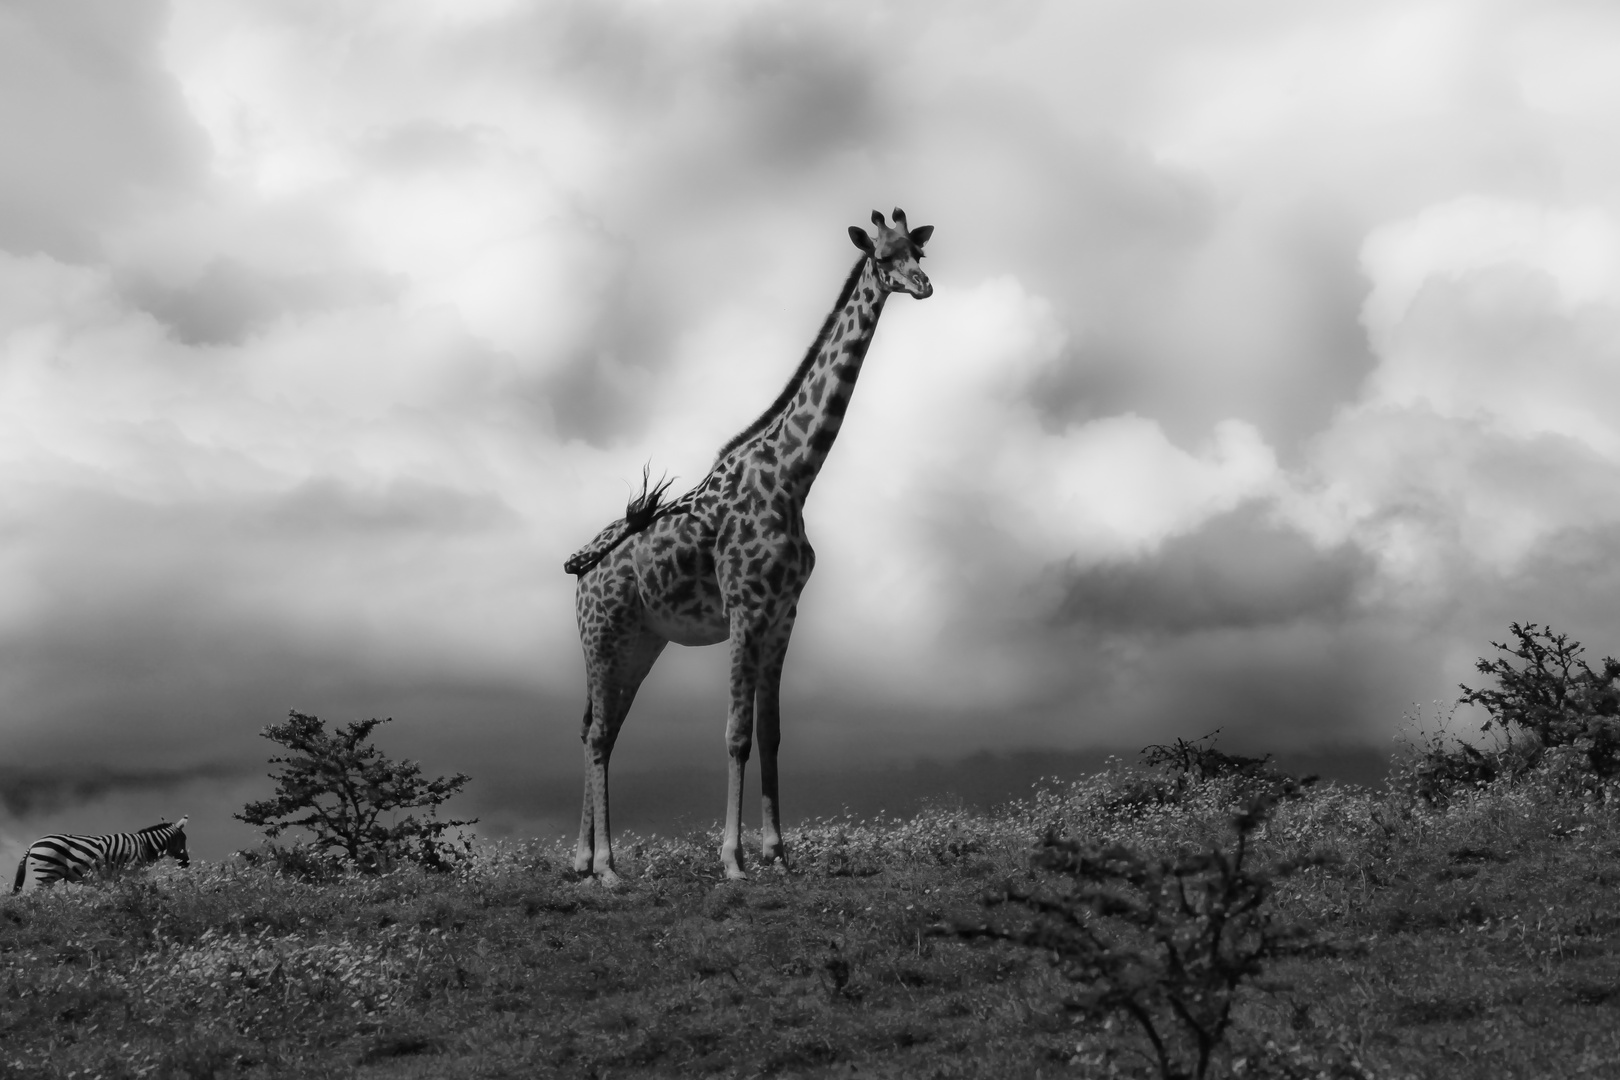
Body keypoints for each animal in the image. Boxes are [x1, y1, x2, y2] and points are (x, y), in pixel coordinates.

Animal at [13, 819, 191, 893]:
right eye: (184, 839)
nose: (186, 863)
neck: (145, 845)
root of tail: (34, 843)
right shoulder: (132, 870)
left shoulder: (119, 874)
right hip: (47, 873)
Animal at [567, 207, 939, 880]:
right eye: (882, 256)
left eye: (919, 251)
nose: (923, 286)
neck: (796, 474)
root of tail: (581, 569)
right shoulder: (745, 608)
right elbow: (735, 732)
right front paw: (733, 861)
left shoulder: (785, 613)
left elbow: (771, 733)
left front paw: (778, 856)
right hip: (601, 635)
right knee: (602, 733)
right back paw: (607, 867)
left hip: (640, 643)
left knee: (596, 729)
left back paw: (582, 860)